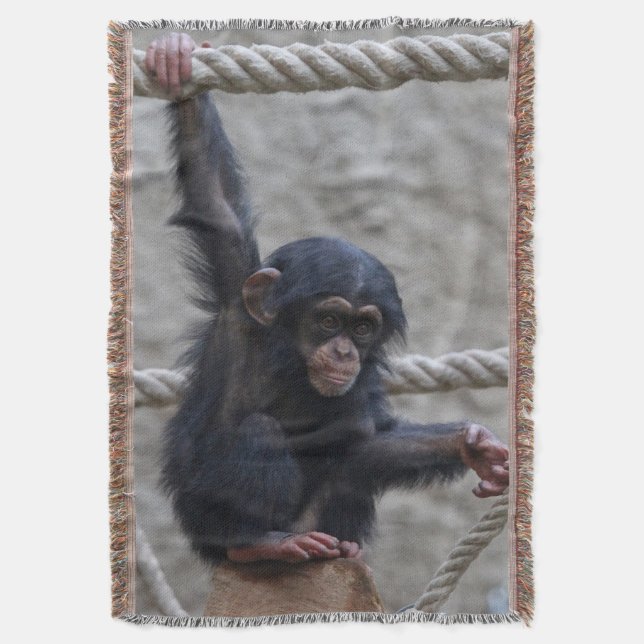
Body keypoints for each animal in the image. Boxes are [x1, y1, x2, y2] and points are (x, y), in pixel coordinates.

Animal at [145, 34, 510, 565]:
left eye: (362, 328)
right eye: (329, 321)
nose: (343, 351)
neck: (292, 363)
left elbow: (369, 433)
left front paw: (471, 444)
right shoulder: (237, 304)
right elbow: (216, 202)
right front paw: (178, 68)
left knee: (356, 453)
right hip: (205, 526)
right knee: (259, 435)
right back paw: (258, 544)